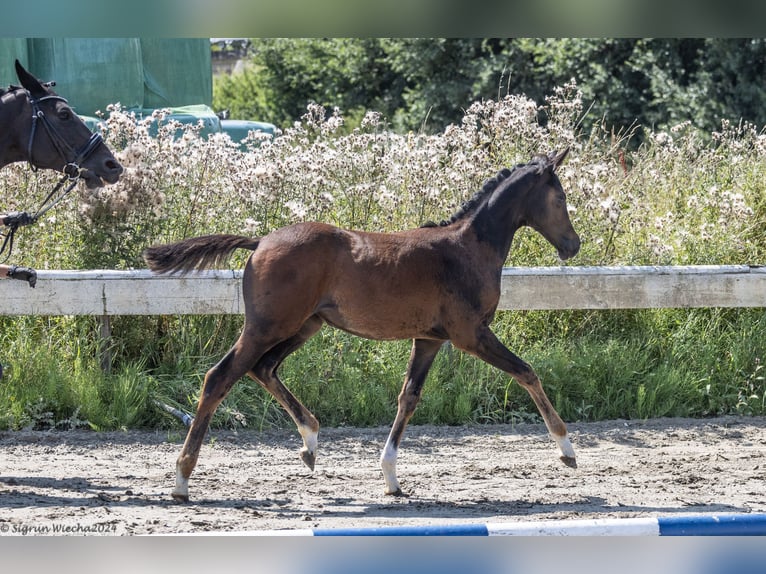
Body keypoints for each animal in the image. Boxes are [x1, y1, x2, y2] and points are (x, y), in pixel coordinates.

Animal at [144, 150, 584, 504]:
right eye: (561, 197)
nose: (573, 244)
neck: (469, 247)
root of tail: (259, 243)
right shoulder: (470, 334)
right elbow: (526, 372)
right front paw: (567, 450)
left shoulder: (428, 339)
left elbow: (409, 397)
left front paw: (390, 478)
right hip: (267, 326)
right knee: (220, 377)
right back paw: (182, 480)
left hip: (305, 325)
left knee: (264, 368)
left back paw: (310, 442)